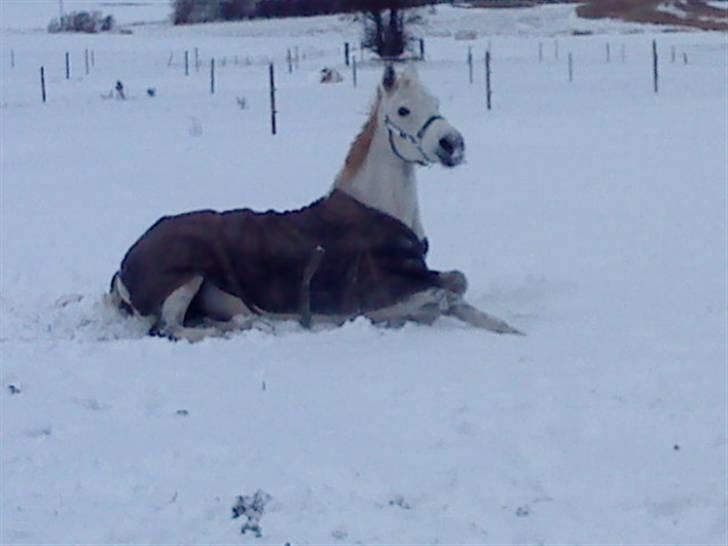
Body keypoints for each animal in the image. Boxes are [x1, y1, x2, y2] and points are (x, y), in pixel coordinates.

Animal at [109, 61, 524, 338]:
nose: (452, 145)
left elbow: (457, 283)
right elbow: (446, 294)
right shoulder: (382, 290)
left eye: (435, 102)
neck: (379, 210)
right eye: (403, 110)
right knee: (170, 329)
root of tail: (124, 267)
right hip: (185, 279)